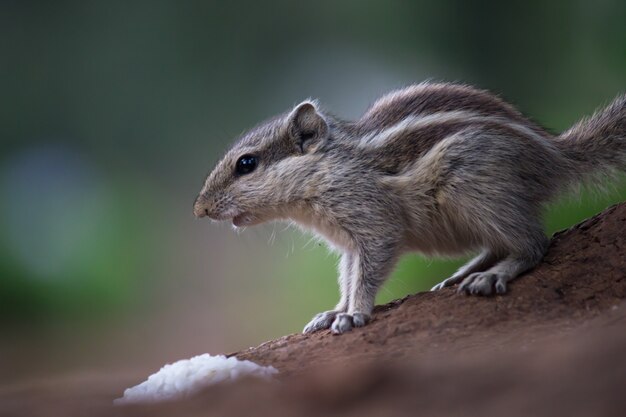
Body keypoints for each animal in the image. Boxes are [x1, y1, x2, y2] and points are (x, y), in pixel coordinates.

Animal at [193, 83, 620, 334]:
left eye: (246, 164)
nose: (199, 209)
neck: (330, 167)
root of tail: (556, 156)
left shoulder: (373, 225)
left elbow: (366, 276)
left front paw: (354, 315)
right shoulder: (349, 244)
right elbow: (347, 278)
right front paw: (334, 311)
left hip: (476, 188)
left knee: (533, 244)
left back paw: (492, 275)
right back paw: (462, 273)